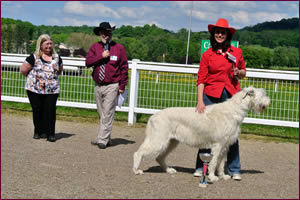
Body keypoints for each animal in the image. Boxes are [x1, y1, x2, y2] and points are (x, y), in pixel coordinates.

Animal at [132, 86, 270, 182]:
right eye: (263, 94)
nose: (269, 101)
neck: (233, 110)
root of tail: (152, 116)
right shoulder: (218, 144)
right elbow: (213, 162)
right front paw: (212, 177)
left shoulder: (225, 145)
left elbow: (220, 164)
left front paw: (223, 176)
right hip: (158, 139)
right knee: (139, 153)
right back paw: (136, 170)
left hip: (171, 142)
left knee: (159, 157)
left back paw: (169, 170)